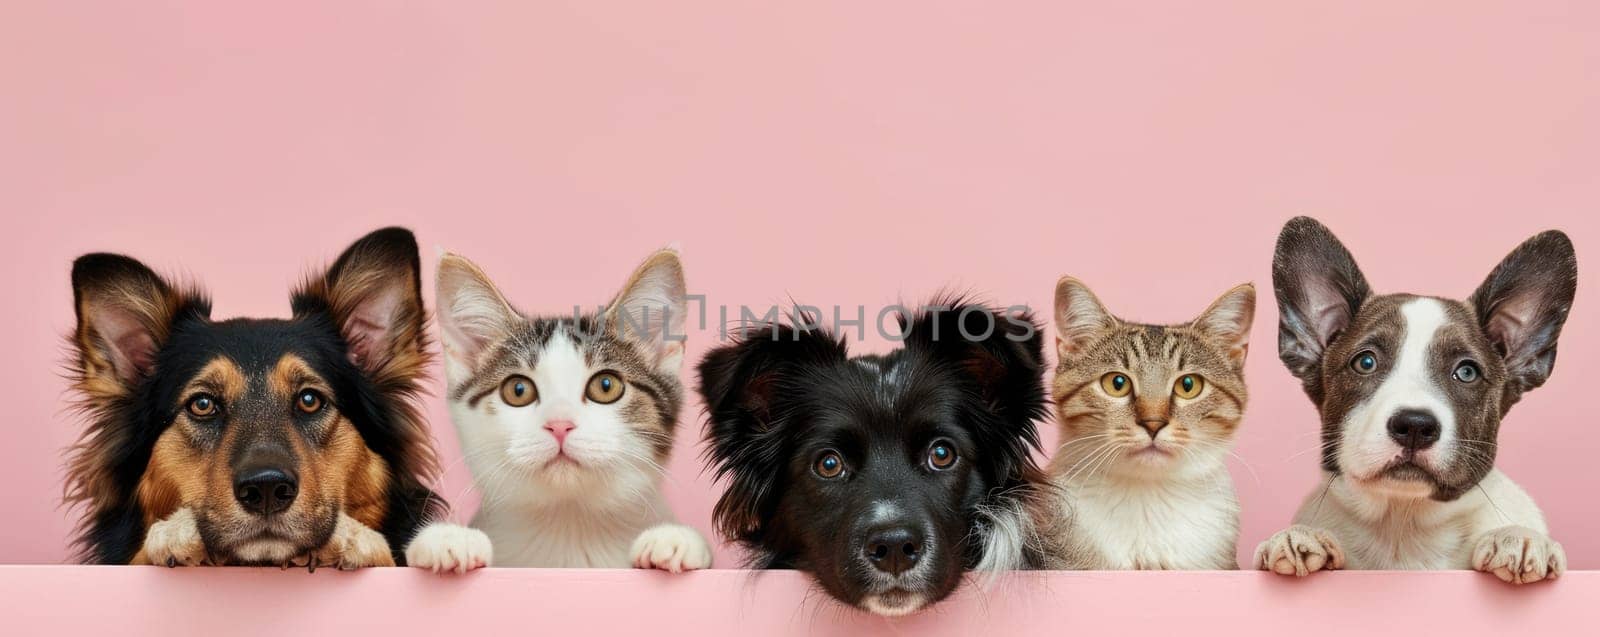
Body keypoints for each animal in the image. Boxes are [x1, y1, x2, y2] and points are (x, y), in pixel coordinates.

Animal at [406, 248, 713, 572]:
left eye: (606, 386)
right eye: (518, 390)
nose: (559, 425)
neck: (569, 524)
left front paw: (676, 538)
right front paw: (448, 538)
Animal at [1254, 217, 1580, 582]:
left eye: (1467, 372)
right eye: (1365, 362)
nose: (1414, 426)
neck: (1404, 524)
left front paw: (1518, 537)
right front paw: (1300, 536)